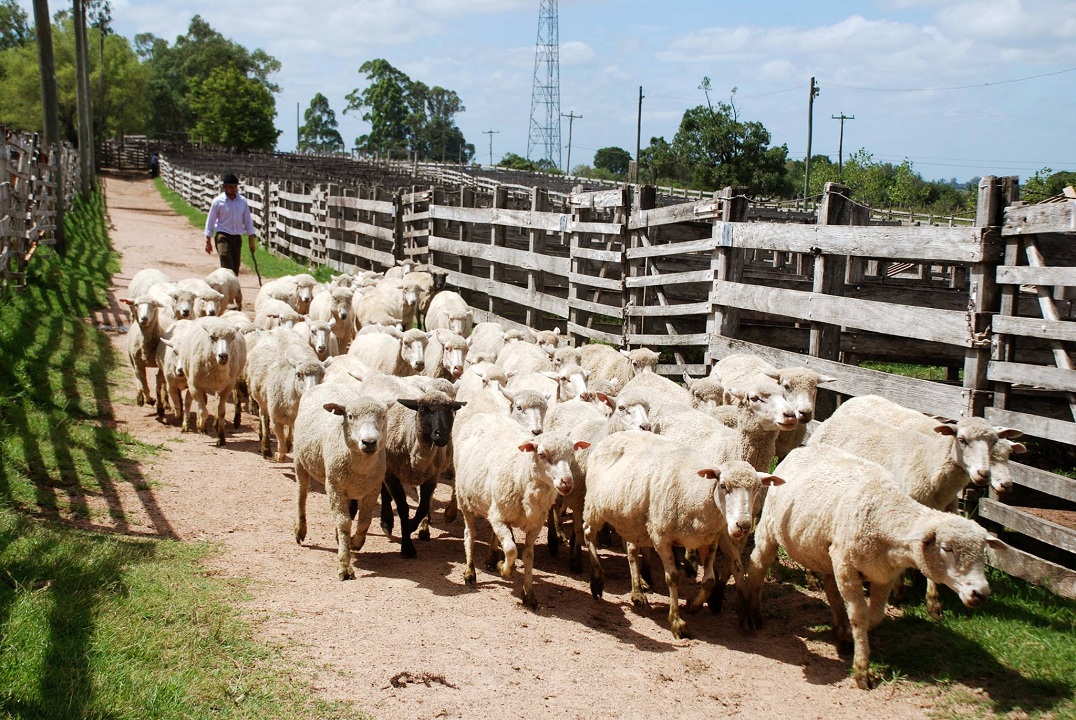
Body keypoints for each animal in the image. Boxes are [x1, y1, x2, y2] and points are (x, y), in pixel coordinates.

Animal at [246, 327, 327, 460]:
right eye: (298, 375)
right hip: (261, 398)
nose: (312, 391)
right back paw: (265, 447)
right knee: (263, 415)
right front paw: (279, 455)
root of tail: (278, 329)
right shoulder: (276, 420)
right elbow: (281, 445)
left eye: (322, 375)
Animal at [294, 380, 391, 576]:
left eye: (383, 416)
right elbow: (344, 522)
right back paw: (300, 530)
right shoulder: (334, 487)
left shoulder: (373, 488)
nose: (369, 442)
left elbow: (364, 521)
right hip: (300, 460)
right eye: (351, 416)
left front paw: (355, 542)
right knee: (301, 495)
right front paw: (345, 566)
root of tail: (328, 383)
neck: (361, 469)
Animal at [454, 408, 589, 606]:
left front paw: (529, 594)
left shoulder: (534, 525)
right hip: (465, 500)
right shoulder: (499, 518)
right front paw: (504, 569)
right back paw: (470, 573)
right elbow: (511, 549)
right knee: (470, 535)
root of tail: (486, 414)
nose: (567, 482)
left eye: (572, 454)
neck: (521, 473)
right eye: (542, 454)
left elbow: (528, 556)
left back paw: (491, 558)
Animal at [589, 426, 783, 632]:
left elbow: (710, 580)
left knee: (632, 550)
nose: (743, 525)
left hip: (631, 521)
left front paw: (693, 606)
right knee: (588, 535)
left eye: (757, 488)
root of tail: (615, 434)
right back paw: (597, 580)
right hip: (594, 506)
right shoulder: (662, 538)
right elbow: (673, 577)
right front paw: (676, 621)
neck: (697, 492)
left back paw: (638, 592)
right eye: (723, 485)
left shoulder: (709, 539)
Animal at [740, 445, 998, 688]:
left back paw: (839, 627)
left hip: (827, 551)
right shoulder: (847, 566)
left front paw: (850, 638)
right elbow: (859, 615)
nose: (980, 592)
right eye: (947, 548)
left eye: (982, 552)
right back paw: (752, 612)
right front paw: (862, 670)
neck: (884, 511)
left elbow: (874, 616)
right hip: (771, 530)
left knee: (831, 588)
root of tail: (802, 449)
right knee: (758, 567)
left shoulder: (884, 574)